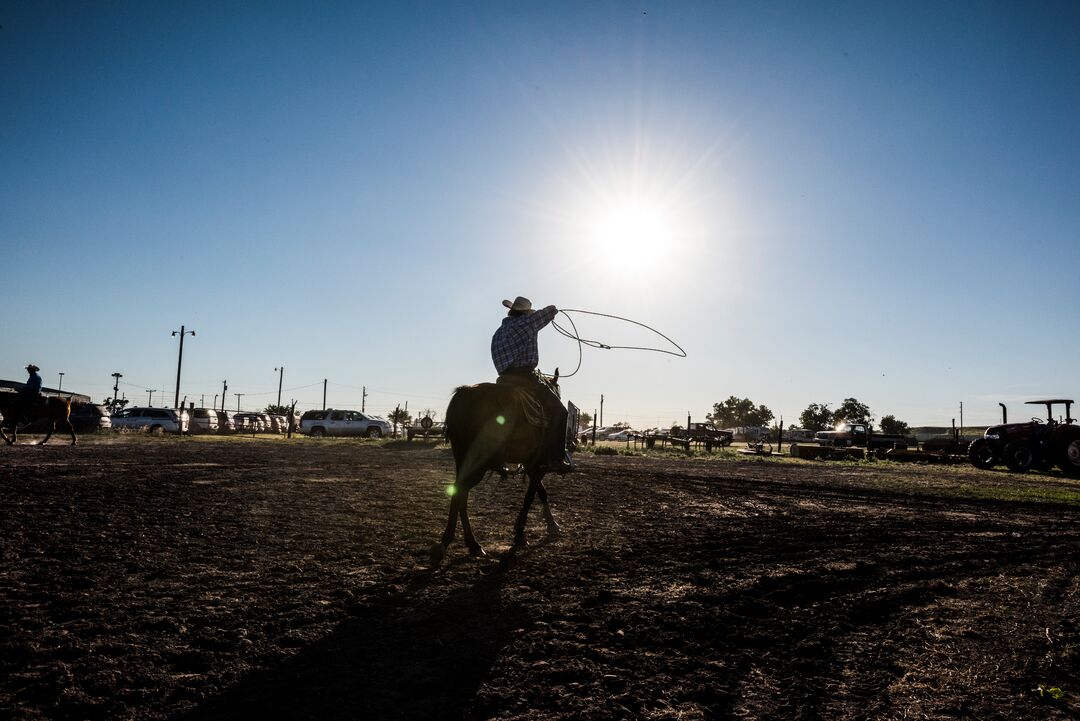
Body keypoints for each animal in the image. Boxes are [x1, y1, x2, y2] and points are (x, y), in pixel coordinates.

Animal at [429, 371, 565, 569]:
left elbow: (540, 491)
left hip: (463, 457)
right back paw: (445, 545)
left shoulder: (531, 464)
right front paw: (521, 532)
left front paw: (550, 524)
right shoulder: (539, 464)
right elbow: (532, 494)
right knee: (460, 491)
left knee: (460, 493)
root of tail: (465, 394)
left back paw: (473, 545)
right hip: (479, 461)